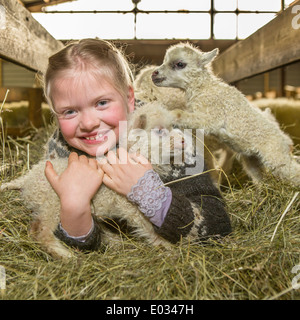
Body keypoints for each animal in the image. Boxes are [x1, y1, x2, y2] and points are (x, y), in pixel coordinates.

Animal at [152, 42, 300, 188]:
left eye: (180, 64)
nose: (154, 74)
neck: (204, 89)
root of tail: (285, 139)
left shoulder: (211, 116)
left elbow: (179, 113)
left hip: (275, 154)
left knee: (294, 173)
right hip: (252, 158)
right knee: (260, 177)